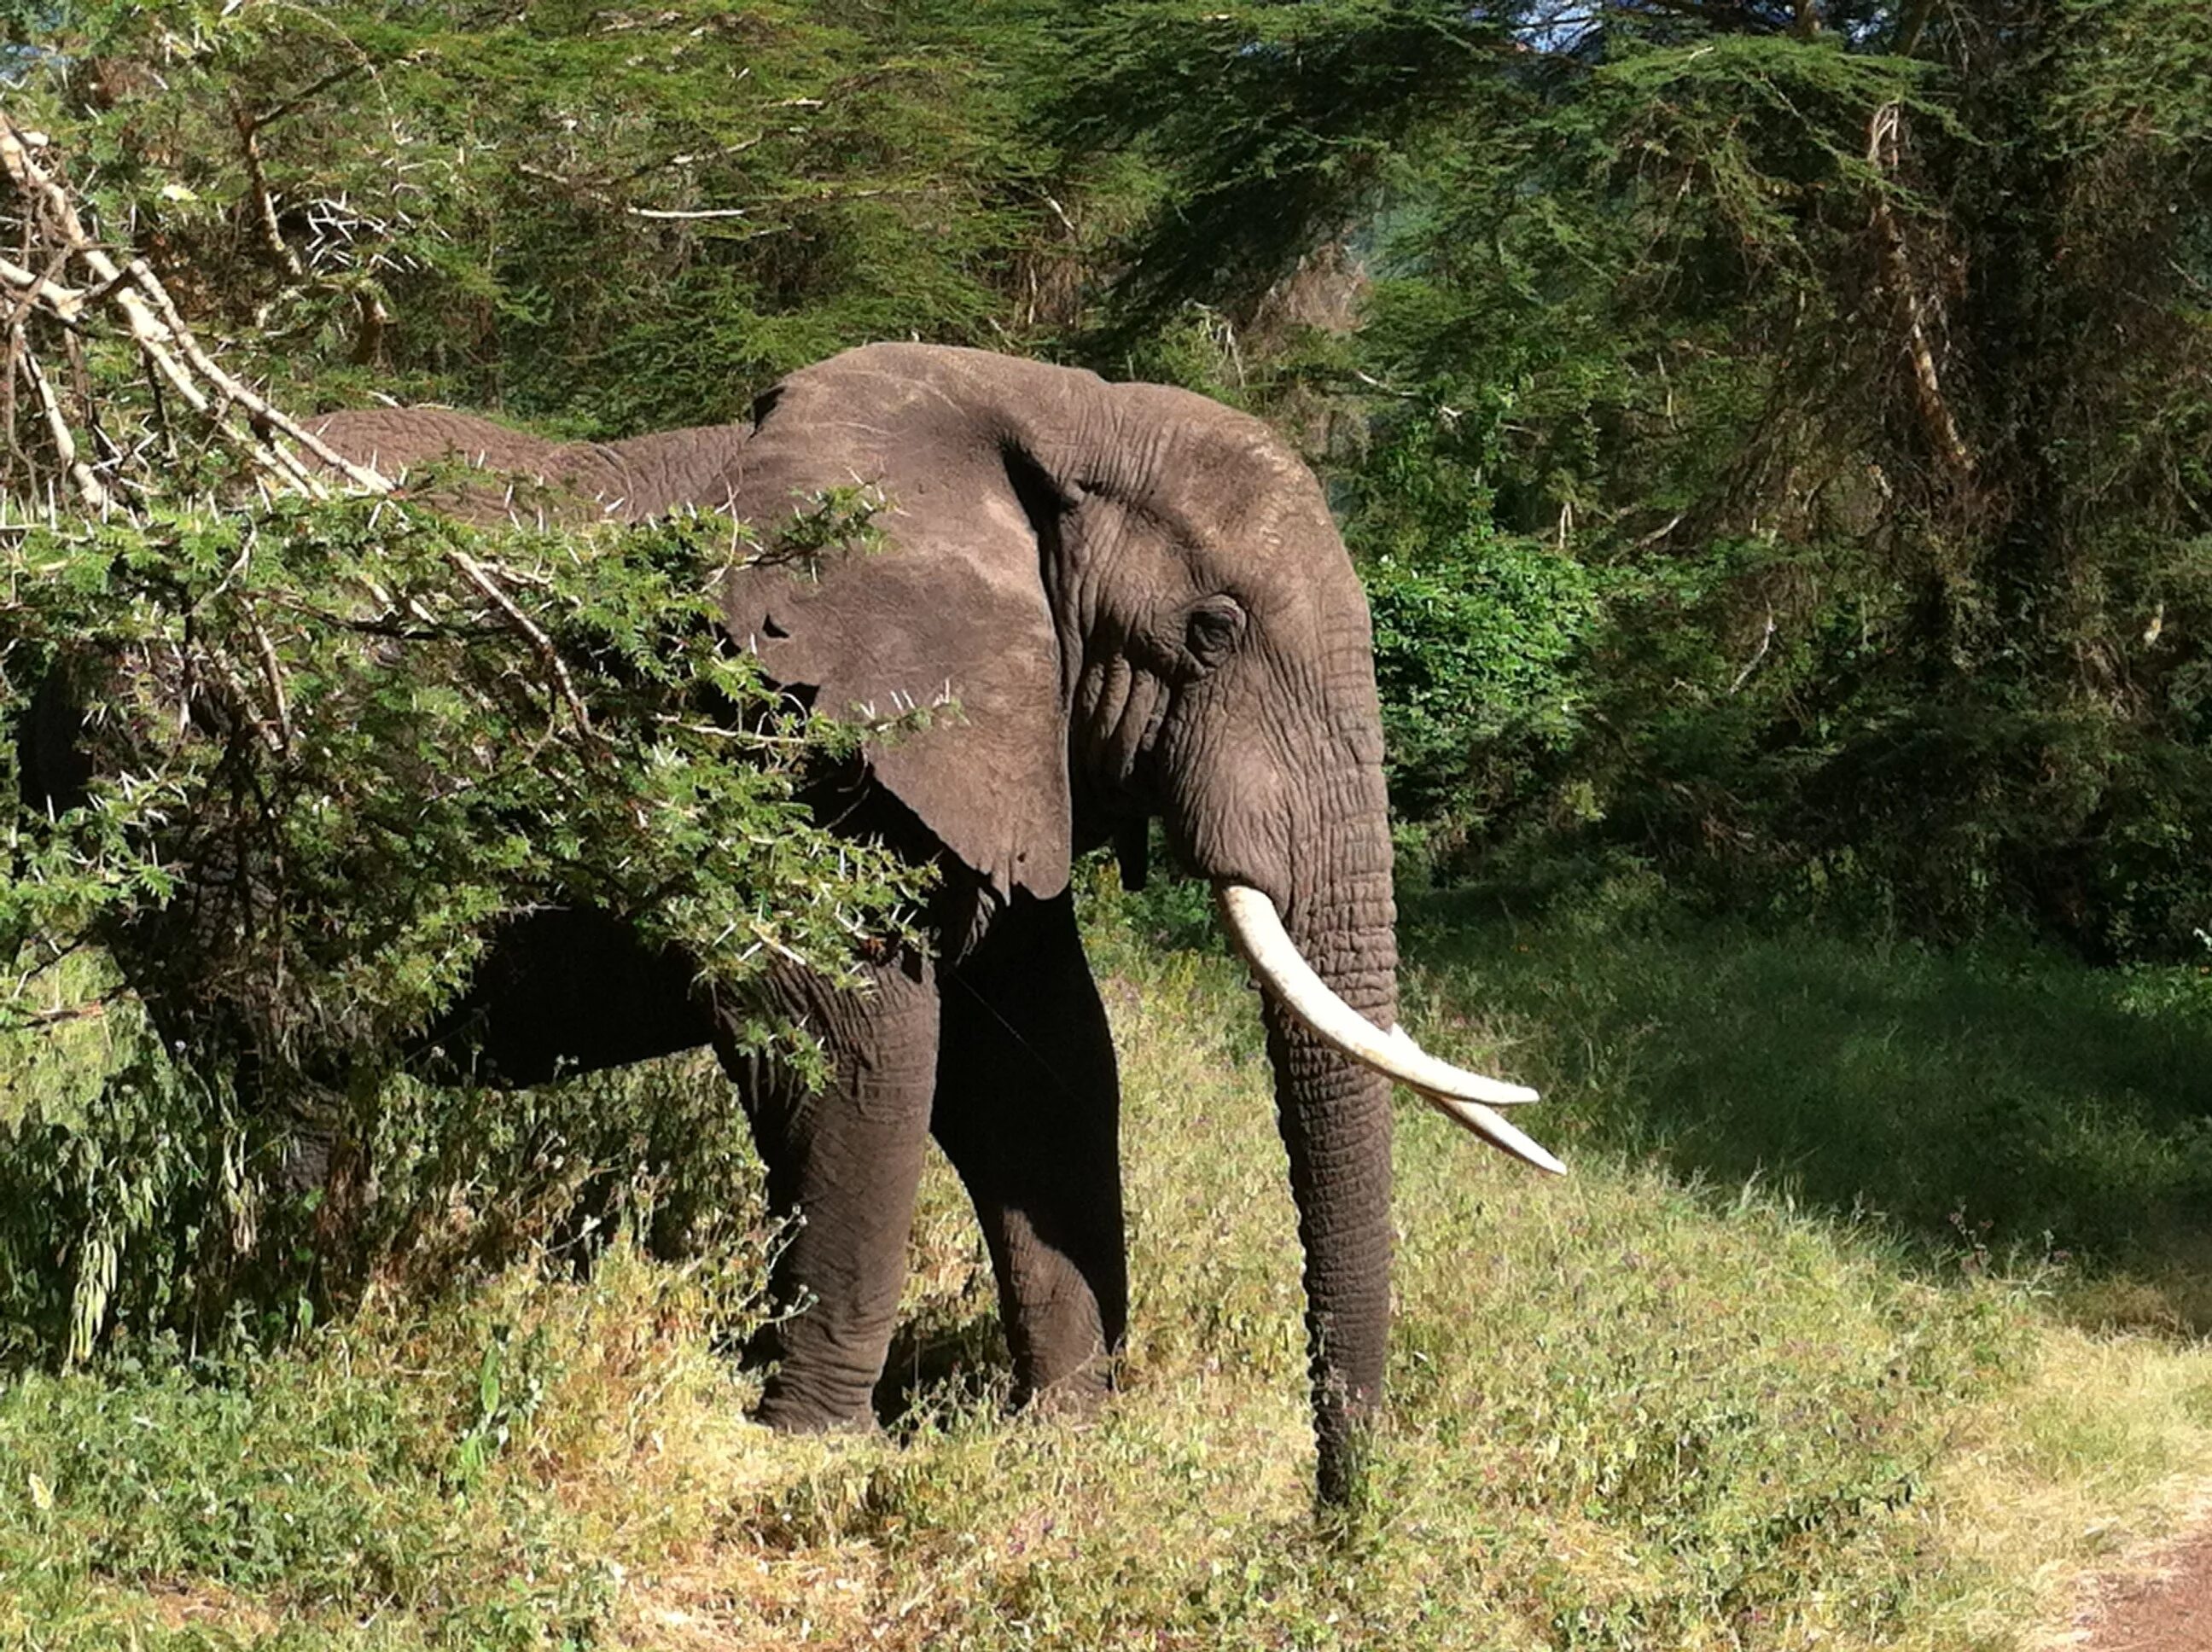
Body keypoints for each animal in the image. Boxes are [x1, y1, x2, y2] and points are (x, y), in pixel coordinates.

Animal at [73, 345, 1575, 1494]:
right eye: (1210, 633)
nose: (1337, 1515)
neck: (1046, 412)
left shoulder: (996, 746)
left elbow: (1045, 1070)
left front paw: (1062, 1444)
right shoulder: (778, 737)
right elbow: (859, 1048)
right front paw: (810, 1453)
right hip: (211, 779)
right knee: (292, 1053)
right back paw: (289, 1316)